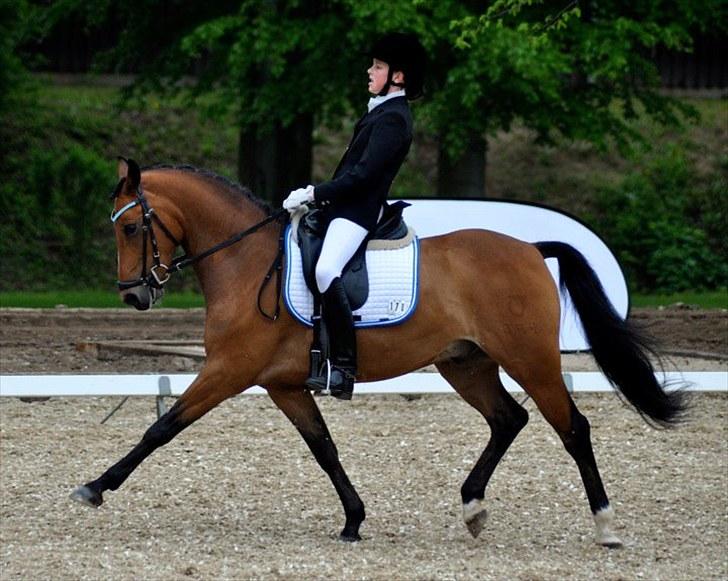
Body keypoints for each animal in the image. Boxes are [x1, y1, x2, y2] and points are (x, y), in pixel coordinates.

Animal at [71, 158, 685, 547]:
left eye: (131, 227)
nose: (133, 295)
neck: (245, 261)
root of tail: (532, 249)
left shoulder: (228, 371)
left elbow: (162, 428)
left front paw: (95, 487)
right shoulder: (282, 384)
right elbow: (324, 448)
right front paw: (353, 520)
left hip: (531, 360)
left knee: (572, 427)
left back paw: (605, 526)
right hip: (465, 362)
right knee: (508, 419)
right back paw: (473, 507)